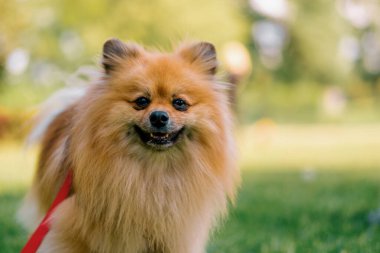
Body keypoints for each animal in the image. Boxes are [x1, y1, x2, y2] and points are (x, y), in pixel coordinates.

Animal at [18, 38, 238, 253]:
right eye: (141, 101)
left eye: (179, 103)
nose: (159, 116)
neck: (153, 171)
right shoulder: (74, 233)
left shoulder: (170, 235)